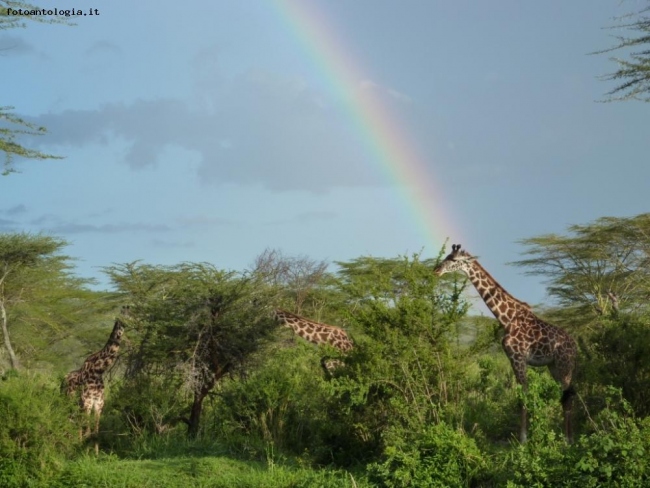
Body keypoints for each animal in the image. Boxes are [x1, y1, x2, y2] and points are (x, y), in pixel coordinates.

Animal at [62, 304, 128, 434]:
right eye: (123, 314)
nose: (127, 323)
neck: (98, 370)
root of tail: (63, 379)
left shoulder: (99, 403)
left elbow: (96, 429)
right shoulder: (87, 402)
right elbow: (88, 429)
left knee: (76, 422)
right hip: (70, 400)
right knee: (70, 419)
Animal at [432, 244, 576, 442]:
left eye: (453, 260)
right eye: (446, 256)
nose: (436, 270)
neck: (507, 319)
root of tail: (575, 347)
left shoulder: (518, 357)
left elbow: (524, 395)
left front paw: (523, 440)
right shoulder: (512, 359)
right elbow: (520, 395)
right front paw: (523, 437)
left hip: (565, 365)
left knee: (567, 397)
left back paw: (568, 440)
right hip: (553, 366)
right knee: (564, 396)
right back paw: (564, 437)